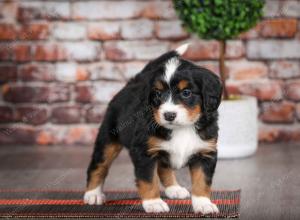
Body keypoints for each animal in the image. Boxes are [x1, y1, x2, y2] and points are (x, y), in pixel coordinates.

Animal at [84, 43, 223, 214]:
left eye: (186, 93)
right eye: (157, 94)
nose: (169, 115)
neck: (182, 128)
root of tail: (130, 85)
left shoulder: (205, 152)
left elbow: (202, 181)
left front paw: (203, 204)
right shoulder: (144, 152)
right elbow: (149, 180)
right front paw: (153, 203)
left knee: (163, 168)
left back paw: (174, 188)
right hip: (108, 140)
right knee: (98, 166)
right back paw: (93, 194)